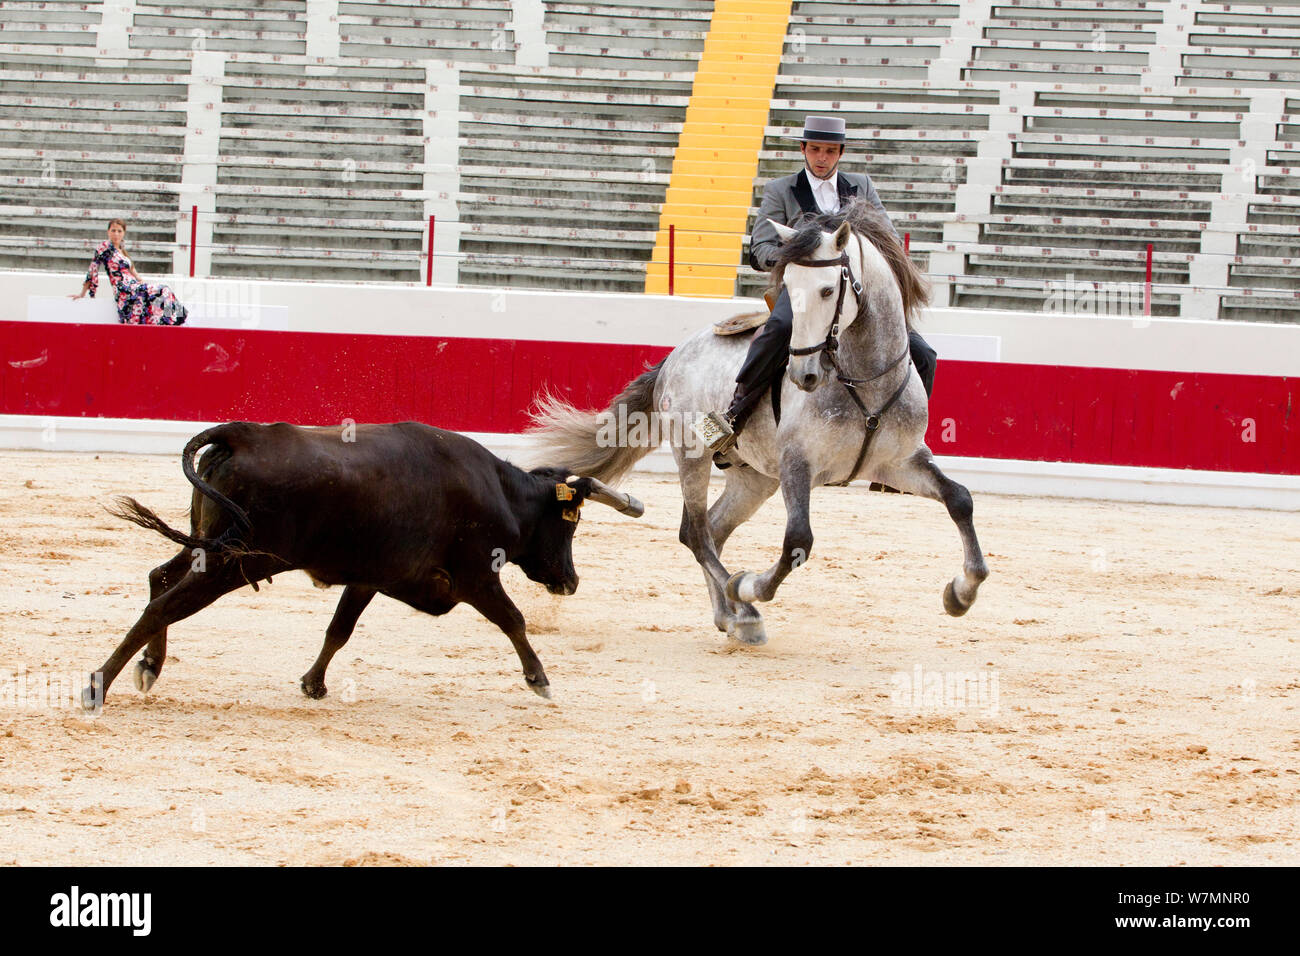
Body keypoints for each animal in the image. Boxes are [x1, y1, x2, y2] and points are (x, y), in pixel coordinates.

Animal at [84, 420, 644, 711]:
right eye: (571, 522)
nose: (571, 581)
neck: (500, 492)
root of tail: (244, 434)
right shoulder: (476, 577)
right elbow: (514, 620)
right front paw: (539, 679)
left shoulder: (371, 577)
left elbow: (339, 630)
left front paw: (313, 684)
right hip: (230, 564)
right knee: (165, 606)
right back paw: (98, 686)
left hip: (208, 547)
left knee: (159, 580)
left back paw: (149, 668)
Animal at [526, 200, 988, 645]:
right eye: (788, 288)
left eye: (827, 290)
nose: (804, 374)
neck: (862, 379)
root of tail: (674, 357)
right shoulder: (797, 463)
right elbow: (798, 540)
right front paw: (748, 586)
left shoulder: (899, 462)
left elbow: (960, 499)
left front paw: (961, 593)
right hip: (693, 455)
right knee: (695, 532)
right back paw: (742, 608)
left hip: (755, 477)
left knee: (713, 528)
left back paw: (729, 616)